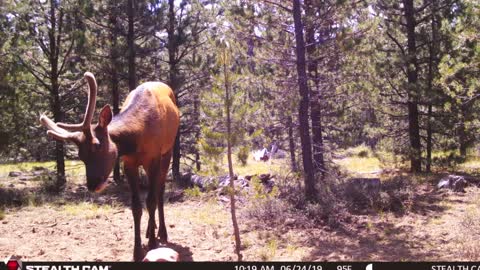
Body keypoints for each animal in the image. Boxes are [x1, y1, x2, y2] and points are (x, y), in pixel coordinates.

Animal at [39, 72, 180, 262]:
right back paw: (150, 230)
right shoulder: (129, 163)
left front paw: (152, 244)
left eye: (97, 145)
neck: (138, 138)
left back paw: (162, 233)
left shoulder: (154, 158)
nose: (93, 185)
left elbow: (150, 201)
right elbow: (136, 207)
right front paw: (137, 251)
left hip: (168, 151)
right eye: (80, 155)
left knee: (160, 190)